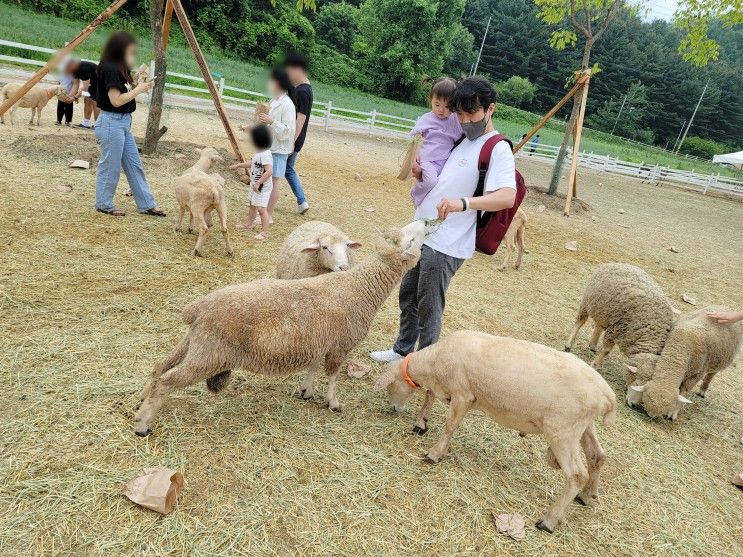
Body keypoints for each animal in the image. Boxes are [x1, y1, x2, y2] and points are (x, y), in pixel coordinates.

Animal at [131, 219, 428, 436]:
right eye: (411, 240)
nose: (426, 221)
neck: (361, 287)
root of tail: (197, 308)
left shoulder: (320, 339)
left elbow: (313, 367)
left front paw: (306, 392)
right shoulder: (340, 344)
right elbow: (332, 375)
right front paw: (333, 403)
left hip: (196, 344)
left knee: (160, 366)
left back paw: (139, 404)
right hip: (209, 355)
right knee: (168, 380)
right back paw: (143, 424)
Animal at [374, 328, 620, 532]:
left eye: (390, 386)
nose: (393, 409)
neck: (434, 362)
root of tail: (607, 395)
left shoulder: (463, 395)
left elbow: (449, 425)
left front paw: (434, 453)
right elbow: (429, 396)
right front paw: (422, 422)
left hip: (562, 430)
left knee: (577, 474)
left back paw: (549, 521)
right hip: (583, 426)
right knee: (597, 456)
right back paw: (586, 496)